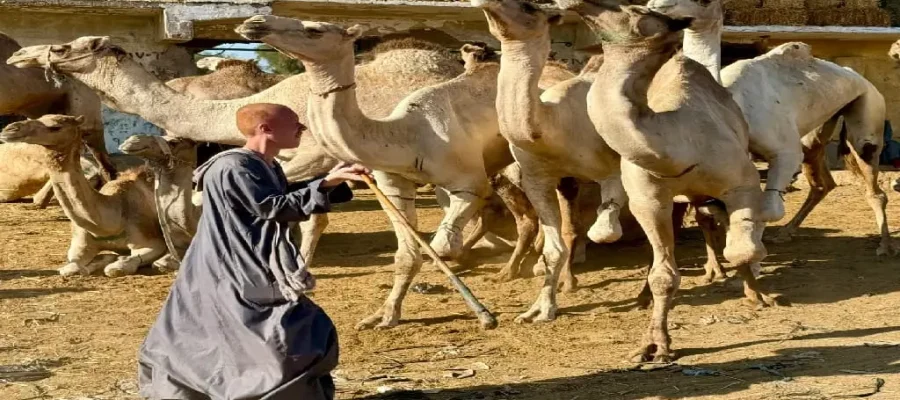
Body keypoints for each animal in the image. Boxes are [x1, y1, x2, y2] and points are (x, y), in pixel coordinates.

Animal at [0, 115, 167, 277]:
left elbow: (118, 267)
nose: (10, 129)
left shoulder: (150, 241)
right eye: (39, 117)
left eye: (55, 127)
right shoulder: (79, 246)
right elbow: (69, 267)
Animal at [473, 0, 629, 322]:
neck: (552, 127)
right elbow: (554, 248)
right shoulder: (540, 179)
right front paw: (540, 309)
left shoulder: (610, 172)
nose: (486, 3)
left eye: (529, 7)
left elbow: (602, 230)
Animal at [557, 0, 772, 361]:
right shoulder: (649, 199)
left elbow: (742, 249)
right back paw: (644, 296)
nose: (576, 4)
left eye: (634, 11)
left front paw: (757, 294)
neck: (679, 146)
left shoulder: (742, 182)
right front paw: (653, 345)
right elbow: (664, 274)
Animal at [648, 0, 893, 256]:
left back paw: (885, 246)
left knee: (872, 178)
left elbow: (767, 208)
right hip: (815, 135)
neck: (733, 98)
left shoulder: (784, 151)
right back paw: (785, 233)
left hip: (868, 108)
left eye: (703, 2)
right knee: (821, 183)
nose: (656, 5)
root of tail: (858, 77)